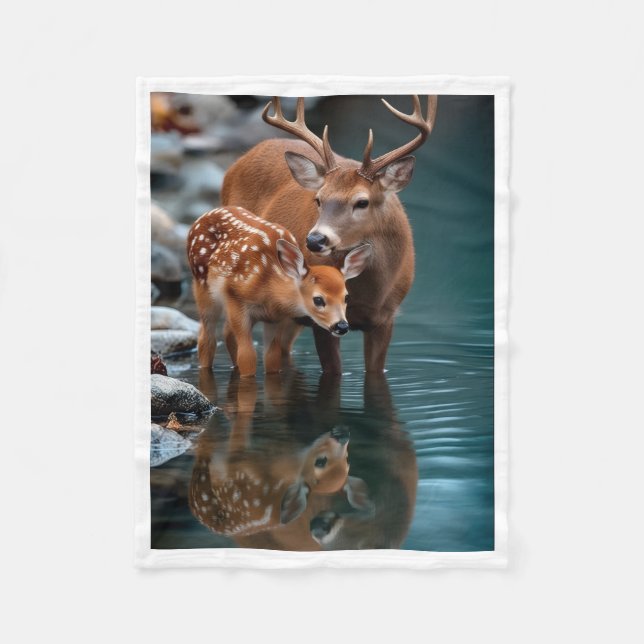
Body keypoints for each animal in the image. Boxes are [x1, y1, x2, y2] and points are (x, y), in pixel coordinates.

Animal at [186, 205, 371, 377]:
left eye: (346, 297)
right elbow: (247, 356)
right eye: (318, 299)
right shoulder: (236, 299)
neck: (268, 287)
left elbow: (272, 359)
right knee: (206, 339)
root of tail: (202, 217)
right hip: (201, 286)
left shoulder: (275, 318)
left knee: (226, 334)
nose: (341, 325)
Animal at [221, 95, 437, 374]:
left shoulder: (386, 317)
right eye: (318, 199)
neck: (368, 295)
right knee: (229, 333)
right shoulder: (321, 319)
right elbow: (334, 371)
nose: (314, 240)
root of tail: (244, 157)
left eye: (362, 202)